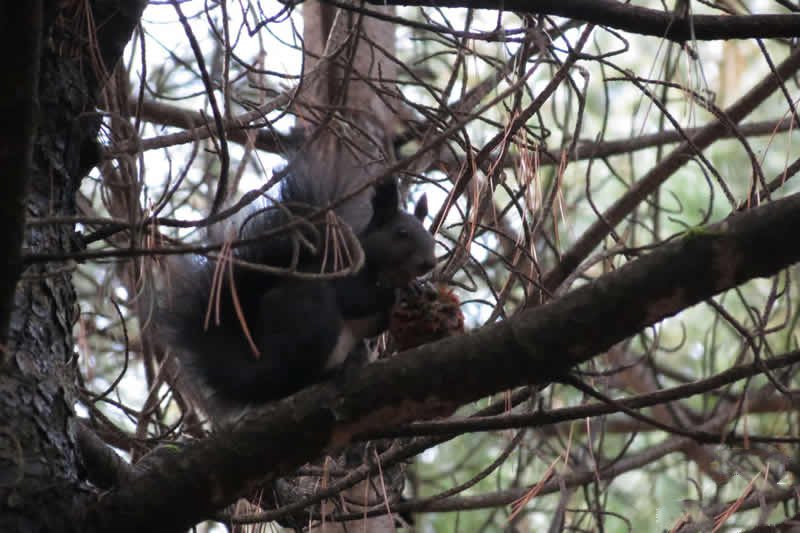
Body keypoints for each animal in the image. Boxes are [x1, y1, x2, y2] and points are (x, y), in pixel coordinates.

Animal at [152, 160, 434, 418]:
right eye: (401, 232)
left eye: (431, 237)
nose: (430, 263)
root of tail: (261, 373)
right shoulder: (341, 272)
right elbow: (357, 300)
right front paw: (398, 292)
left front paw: (417, 288)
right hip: (309, 322)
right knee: (300, 377)